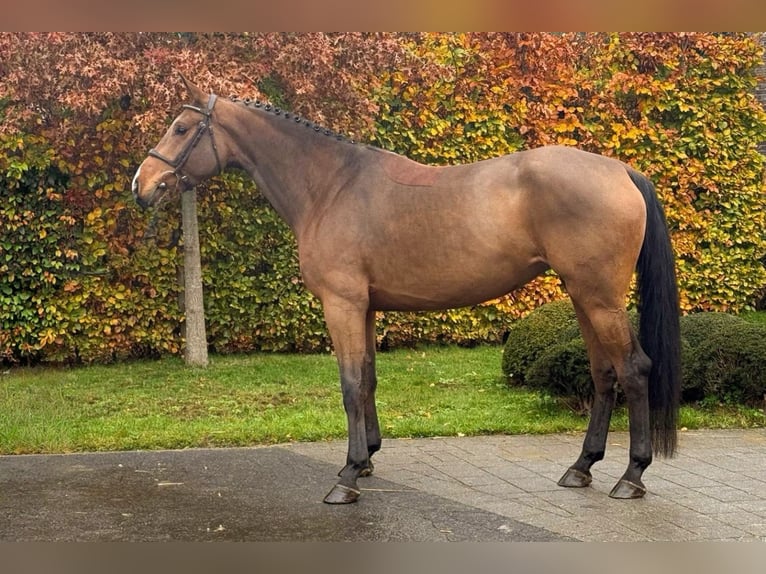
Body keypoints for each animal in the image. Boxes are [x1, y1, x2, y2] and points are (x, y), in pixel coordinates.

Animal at [132, 75, 681, 504]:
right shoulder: (365, 307)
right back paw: (581, 467)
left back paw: (632, 477)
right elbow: (368, 380)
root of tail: (620, 170)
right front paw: (366, 459)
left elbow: (350, 384)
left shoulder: (342, 304)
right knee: (604, 374)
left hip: (599, 298)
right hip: (583, 296)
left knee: (634, 369)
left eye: (181, 128)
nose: (142, 184)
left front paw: (347, 477)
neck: (331, 186)